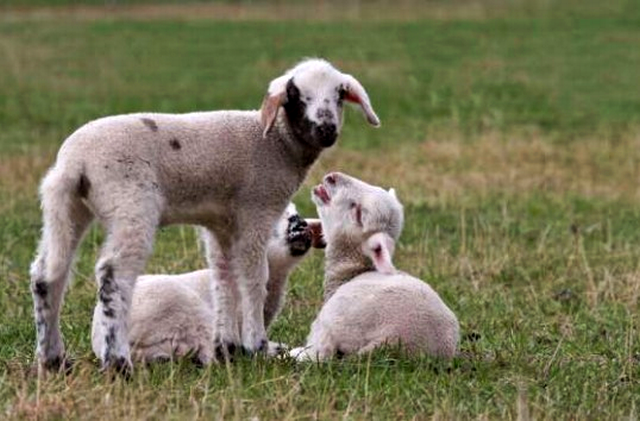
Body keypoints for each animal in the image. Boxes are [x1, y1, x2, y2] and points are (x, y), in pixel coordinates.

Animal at [290, 172, 460, 360]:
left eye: (357, 212)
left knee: (321, 354)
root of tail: (392, 339)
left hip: (333, 320)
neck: (349, 273)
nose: (333, 176)